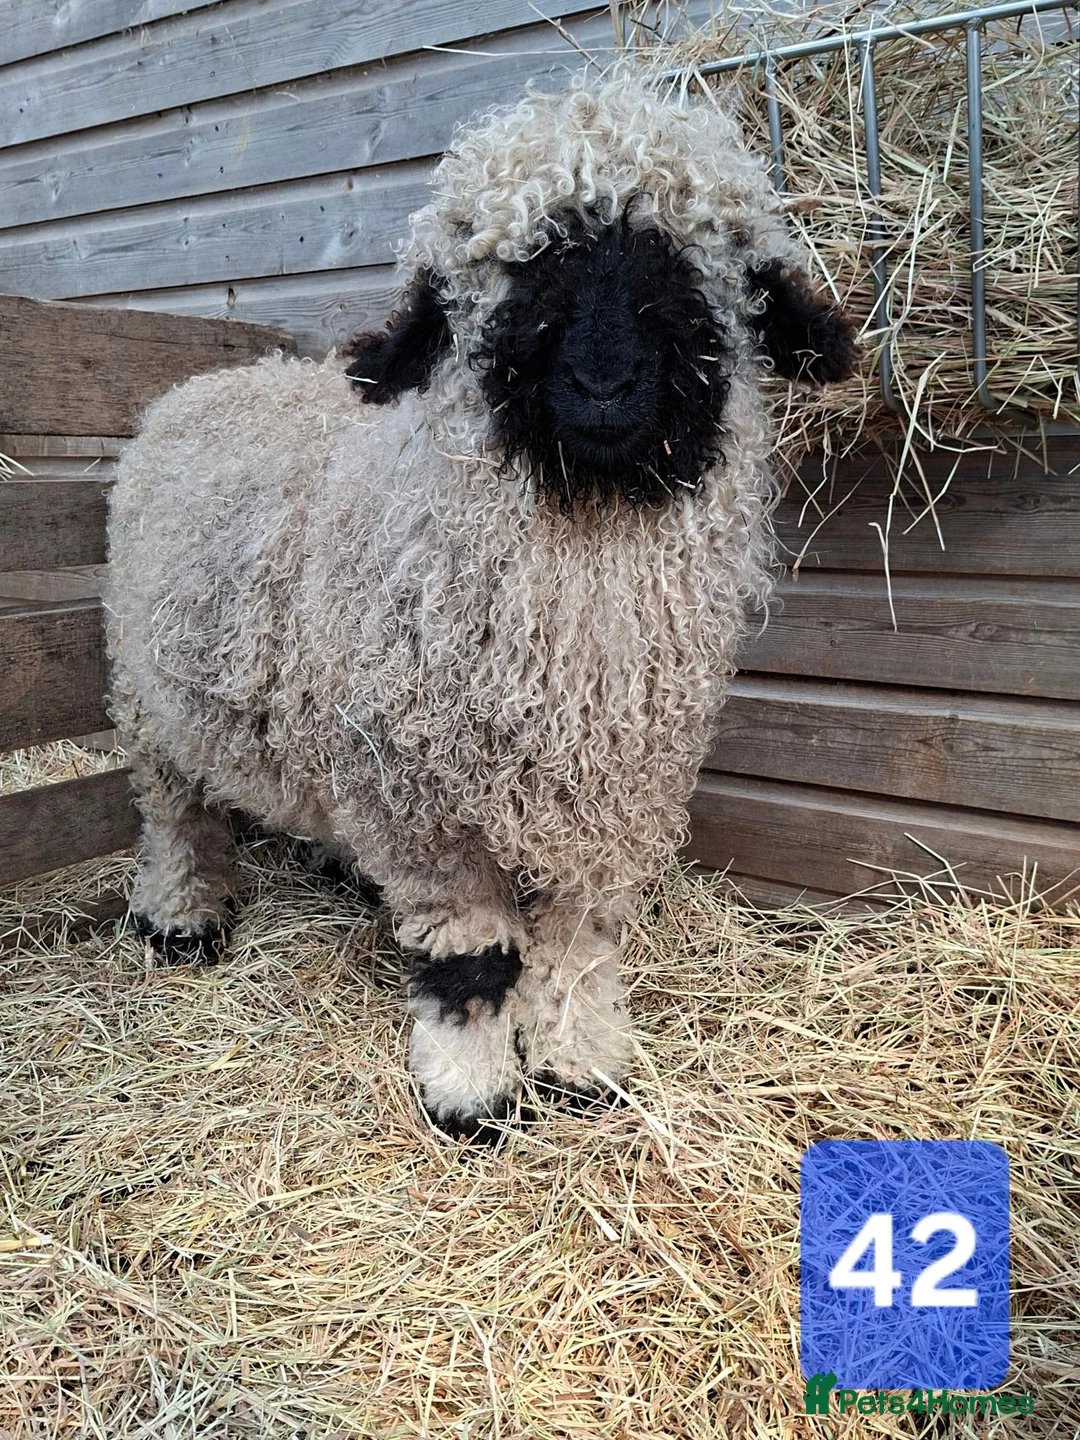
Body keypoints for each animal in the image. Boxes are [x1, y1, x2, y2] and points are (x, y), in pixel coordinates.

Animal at [105, 67, 854, 1143]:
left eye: (695, 265)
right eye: (515, 269)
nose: (602, 381)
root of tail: (215, 380)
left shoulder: (612, 793)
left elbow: (579, 942)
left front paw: (577, 1063)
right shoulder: (424, 808)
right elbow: (474, 958)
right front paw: (470, 1092)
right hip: (146, 693)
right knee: (174, 812)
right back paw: (180, 916)